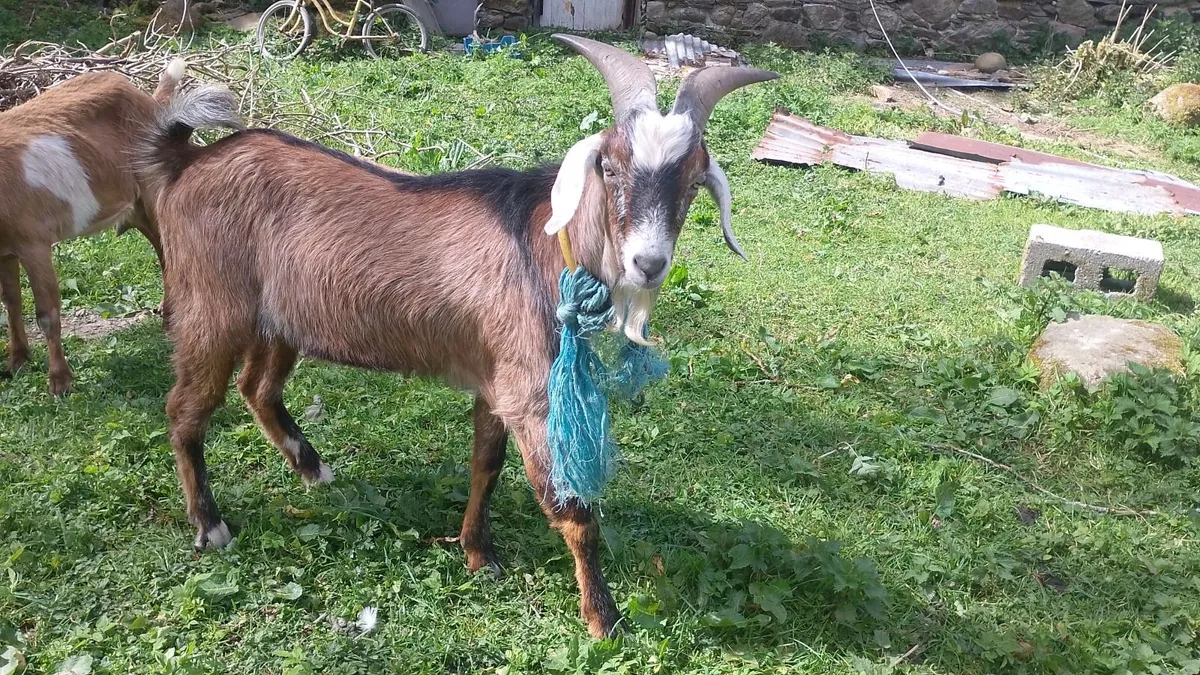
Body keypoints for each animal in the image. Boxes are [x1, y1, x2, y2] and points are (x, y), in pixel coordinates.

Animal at [0, 60, 191, 395]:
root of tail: (150, 101)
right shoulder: (4, 250)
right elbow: (11, 302)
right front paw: (17, 362)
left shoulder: (33, 241)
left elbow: (46, 313)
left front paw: (60, 382)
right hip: (137, 205)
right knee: (160, 246)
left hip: (155, 186)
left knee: (168, 248)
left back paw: (171, 322)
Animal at [137, 35, 775, 637]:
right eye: (611, 167)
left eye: (692, 182)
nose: (648, 263)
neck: (539, 243)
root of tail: (187, 162)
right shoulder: (528, 390)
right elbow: (571, 508)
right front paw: (604, 619)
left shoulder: (494, 378)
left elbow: (485, 463)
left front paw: (477, 554)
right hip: (212, 309)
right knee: (186, 408)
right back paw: (210, 525)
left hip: (278, 321)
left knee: (256, 388)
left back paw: (313, 469)